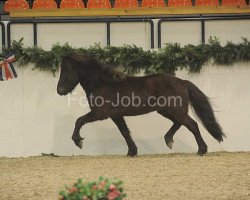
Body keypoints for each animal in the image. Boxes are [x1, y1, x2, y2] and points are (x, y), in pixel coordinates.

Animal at [56, 51, 225, 156]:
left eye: (66, 70)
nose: (60, 91)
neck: (103, 84)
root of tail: (182, 82)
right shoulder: (116, 115)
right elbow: (124, 132)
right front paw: (132, 151)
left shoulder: (100, 113)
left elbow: (79, 120)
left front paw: (78, 141)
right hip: (165, 111)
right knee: (179, 123)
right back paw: (169, 140)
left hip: (175, 110)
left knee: (192, 125)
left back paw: (201, 150)